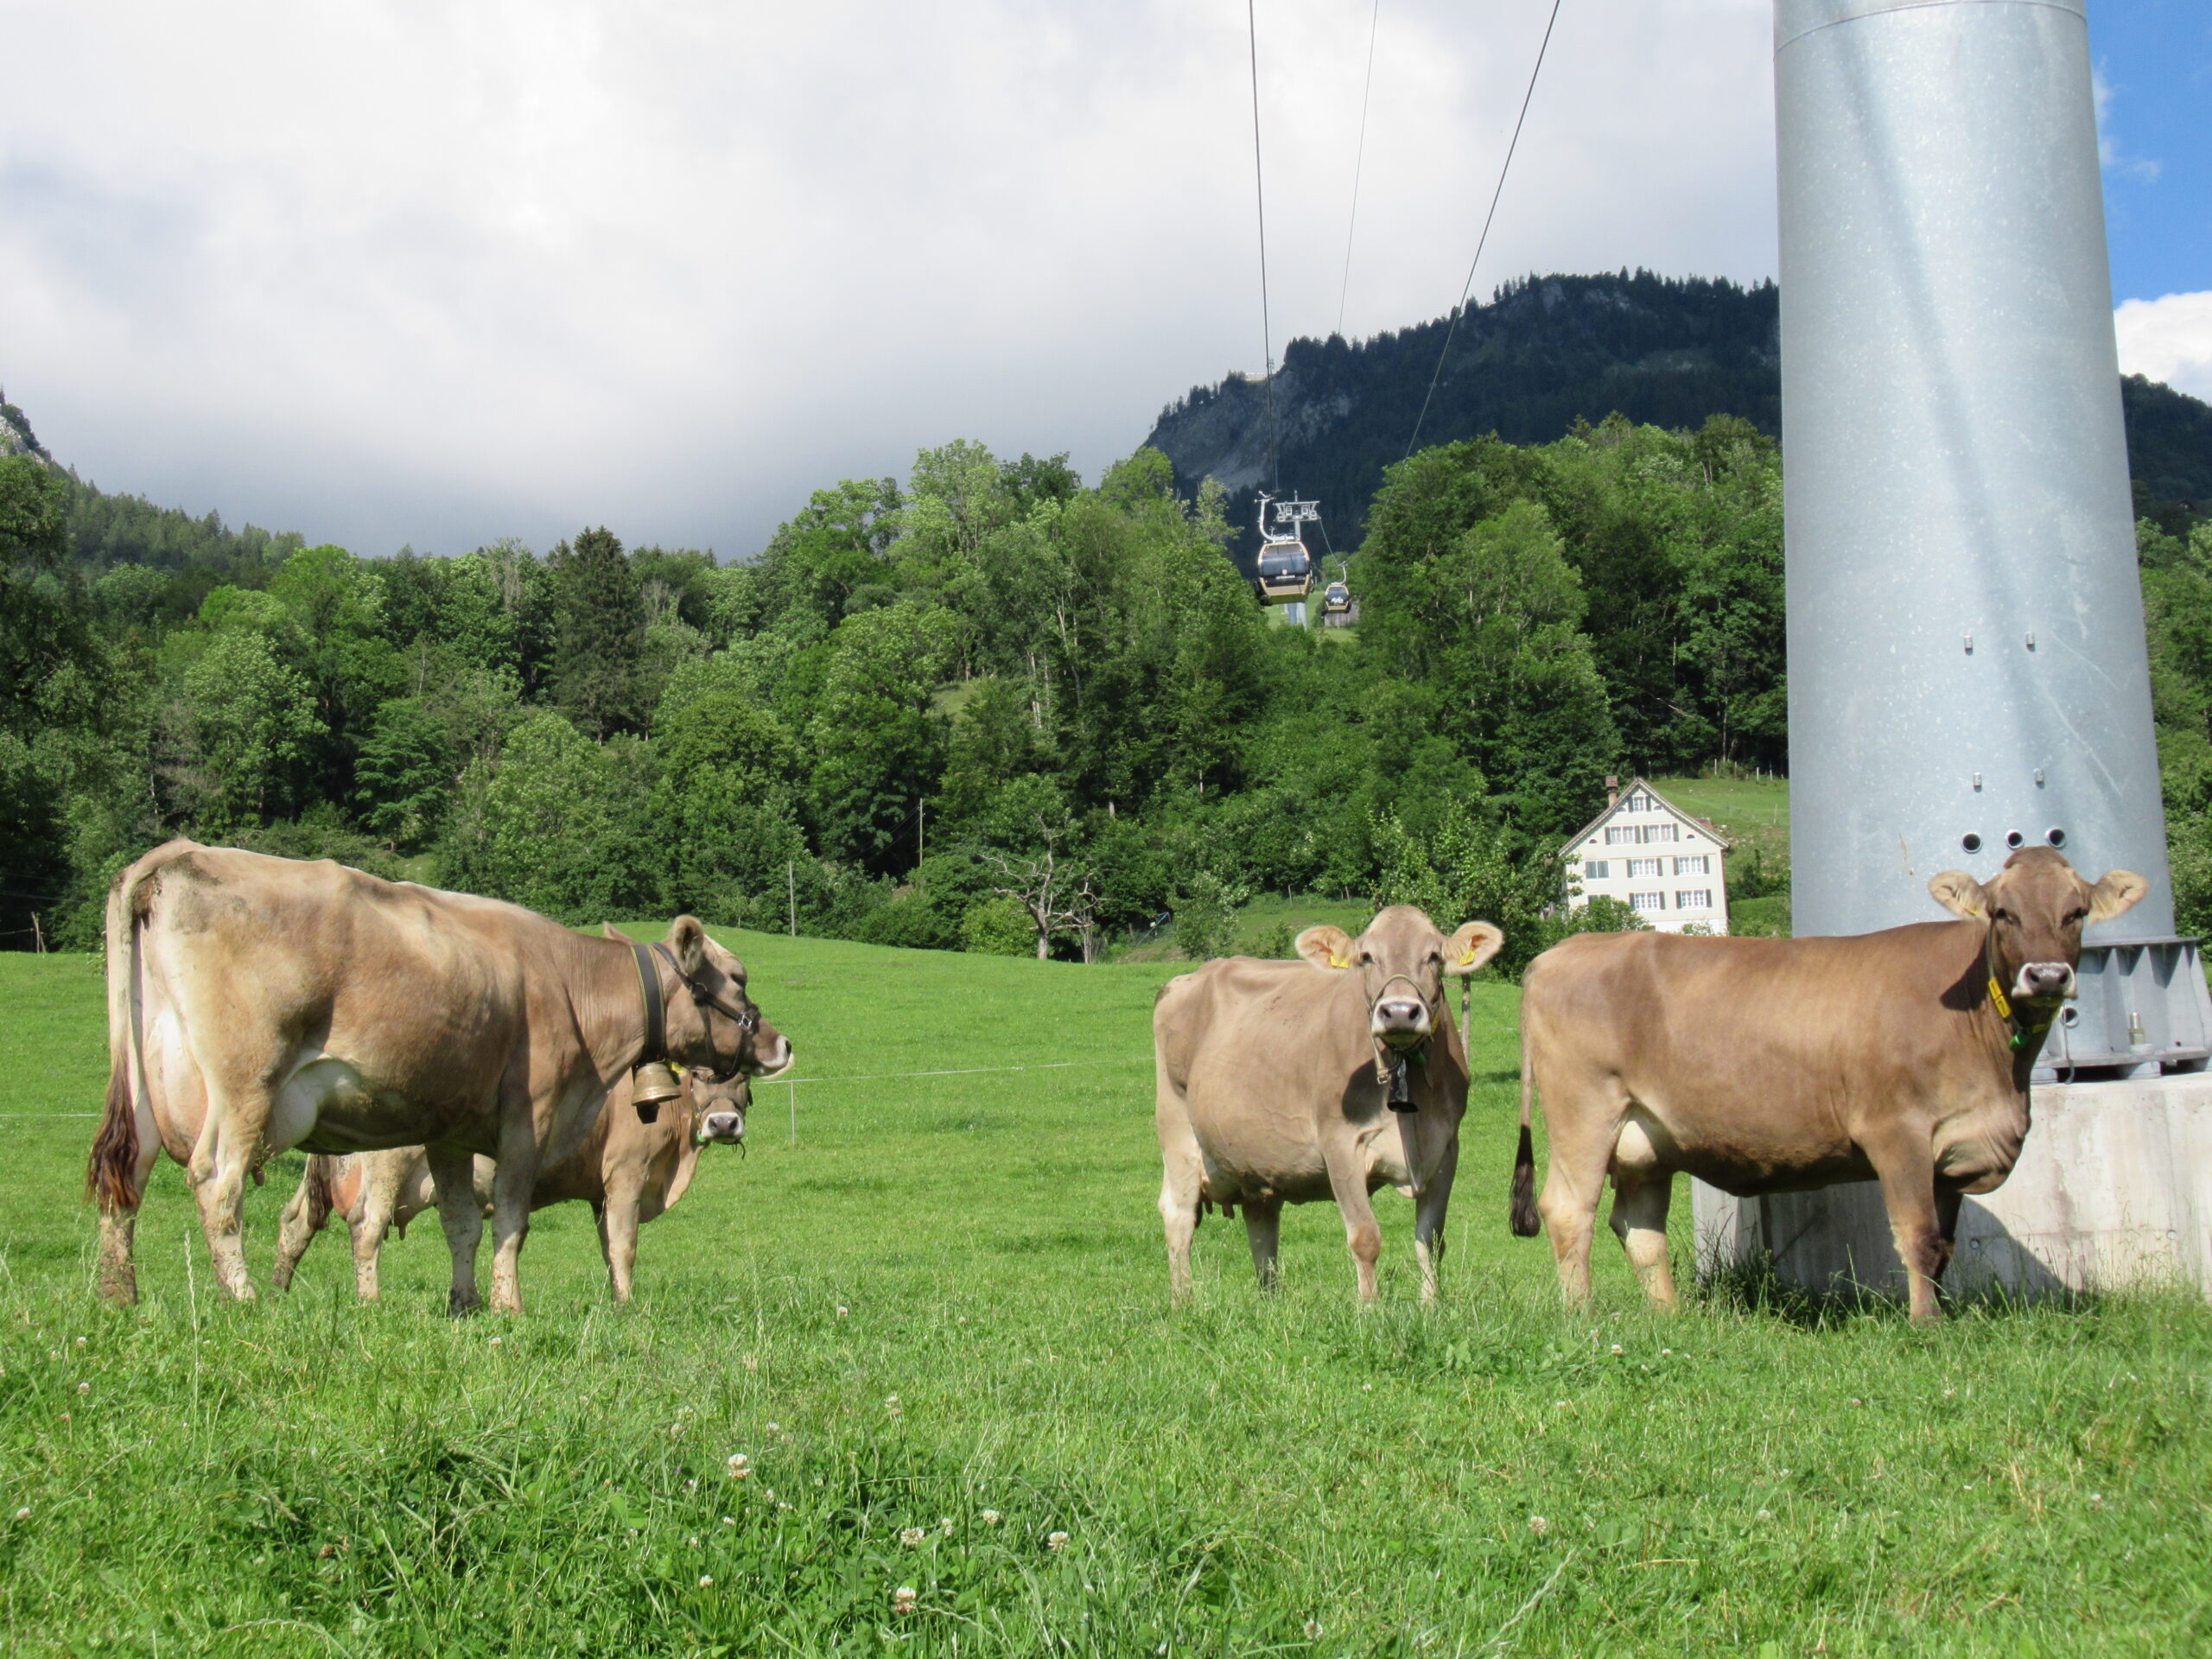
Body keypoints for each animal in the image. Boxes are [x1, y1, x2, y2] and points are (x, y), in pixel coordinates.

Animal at [269, 1071, 747, 1309]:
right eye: (699, 1077)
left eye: (742, 1079)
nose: (724, 1123)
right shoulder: (627, 1175)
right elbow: (624, 1245)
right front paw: (629, 1306)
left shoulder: (600, 1192)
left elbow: (608, 1247)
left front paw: (617, 1299)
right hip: (385, 1170)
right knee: (367, 1230)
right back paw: (371, 1301)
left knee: (295, 1223)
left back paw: (277, 1293)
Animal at [1159, 911, 1503, 1309]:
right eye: (1367, 957)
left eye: (1433, 956)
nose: (1400, 1012)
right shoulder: (1341, 1144)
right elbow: (1365, 1238)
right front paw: (1370, 1310)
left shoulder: (1446, 1148)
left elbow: (1430, 1241)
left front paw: (1430, 1307)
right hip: (1176, 1128)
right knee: (1179, 1215)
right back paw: (1183, 1301)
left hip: (1255, 1156)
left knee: (1261, 1219)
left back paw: (1272, 1303)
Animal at [1522, 844, 2141, 1327]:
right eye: (2003, 913)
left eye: (2076, 912)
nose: (2047, 976)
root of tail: (1566, 948)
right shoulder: (1898, 1133)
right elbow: (1917, 1235)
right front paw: (1926, 1326)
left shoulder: (1951, 1151)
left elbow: (1942, 1246)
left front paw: (1940, 1313)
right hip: (1584, 1112)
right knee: (1568, 1210)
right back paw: (1582, 1318)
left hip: (1647, 1140)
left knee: (1640, 1228)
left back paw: (1670, 1318)